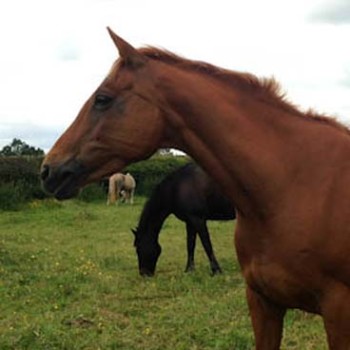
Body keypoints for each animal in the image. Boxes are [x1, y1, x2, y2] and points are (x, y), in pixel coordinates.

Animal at [41, 28, 350, 348]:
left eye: (102, 99)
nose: (47, 169)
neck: (291, 185)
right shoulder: (263, 301)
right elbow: (193, 244)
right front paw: (192, 269)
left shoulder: (338, 312)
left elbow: (205, 243)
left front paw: (214, 269)